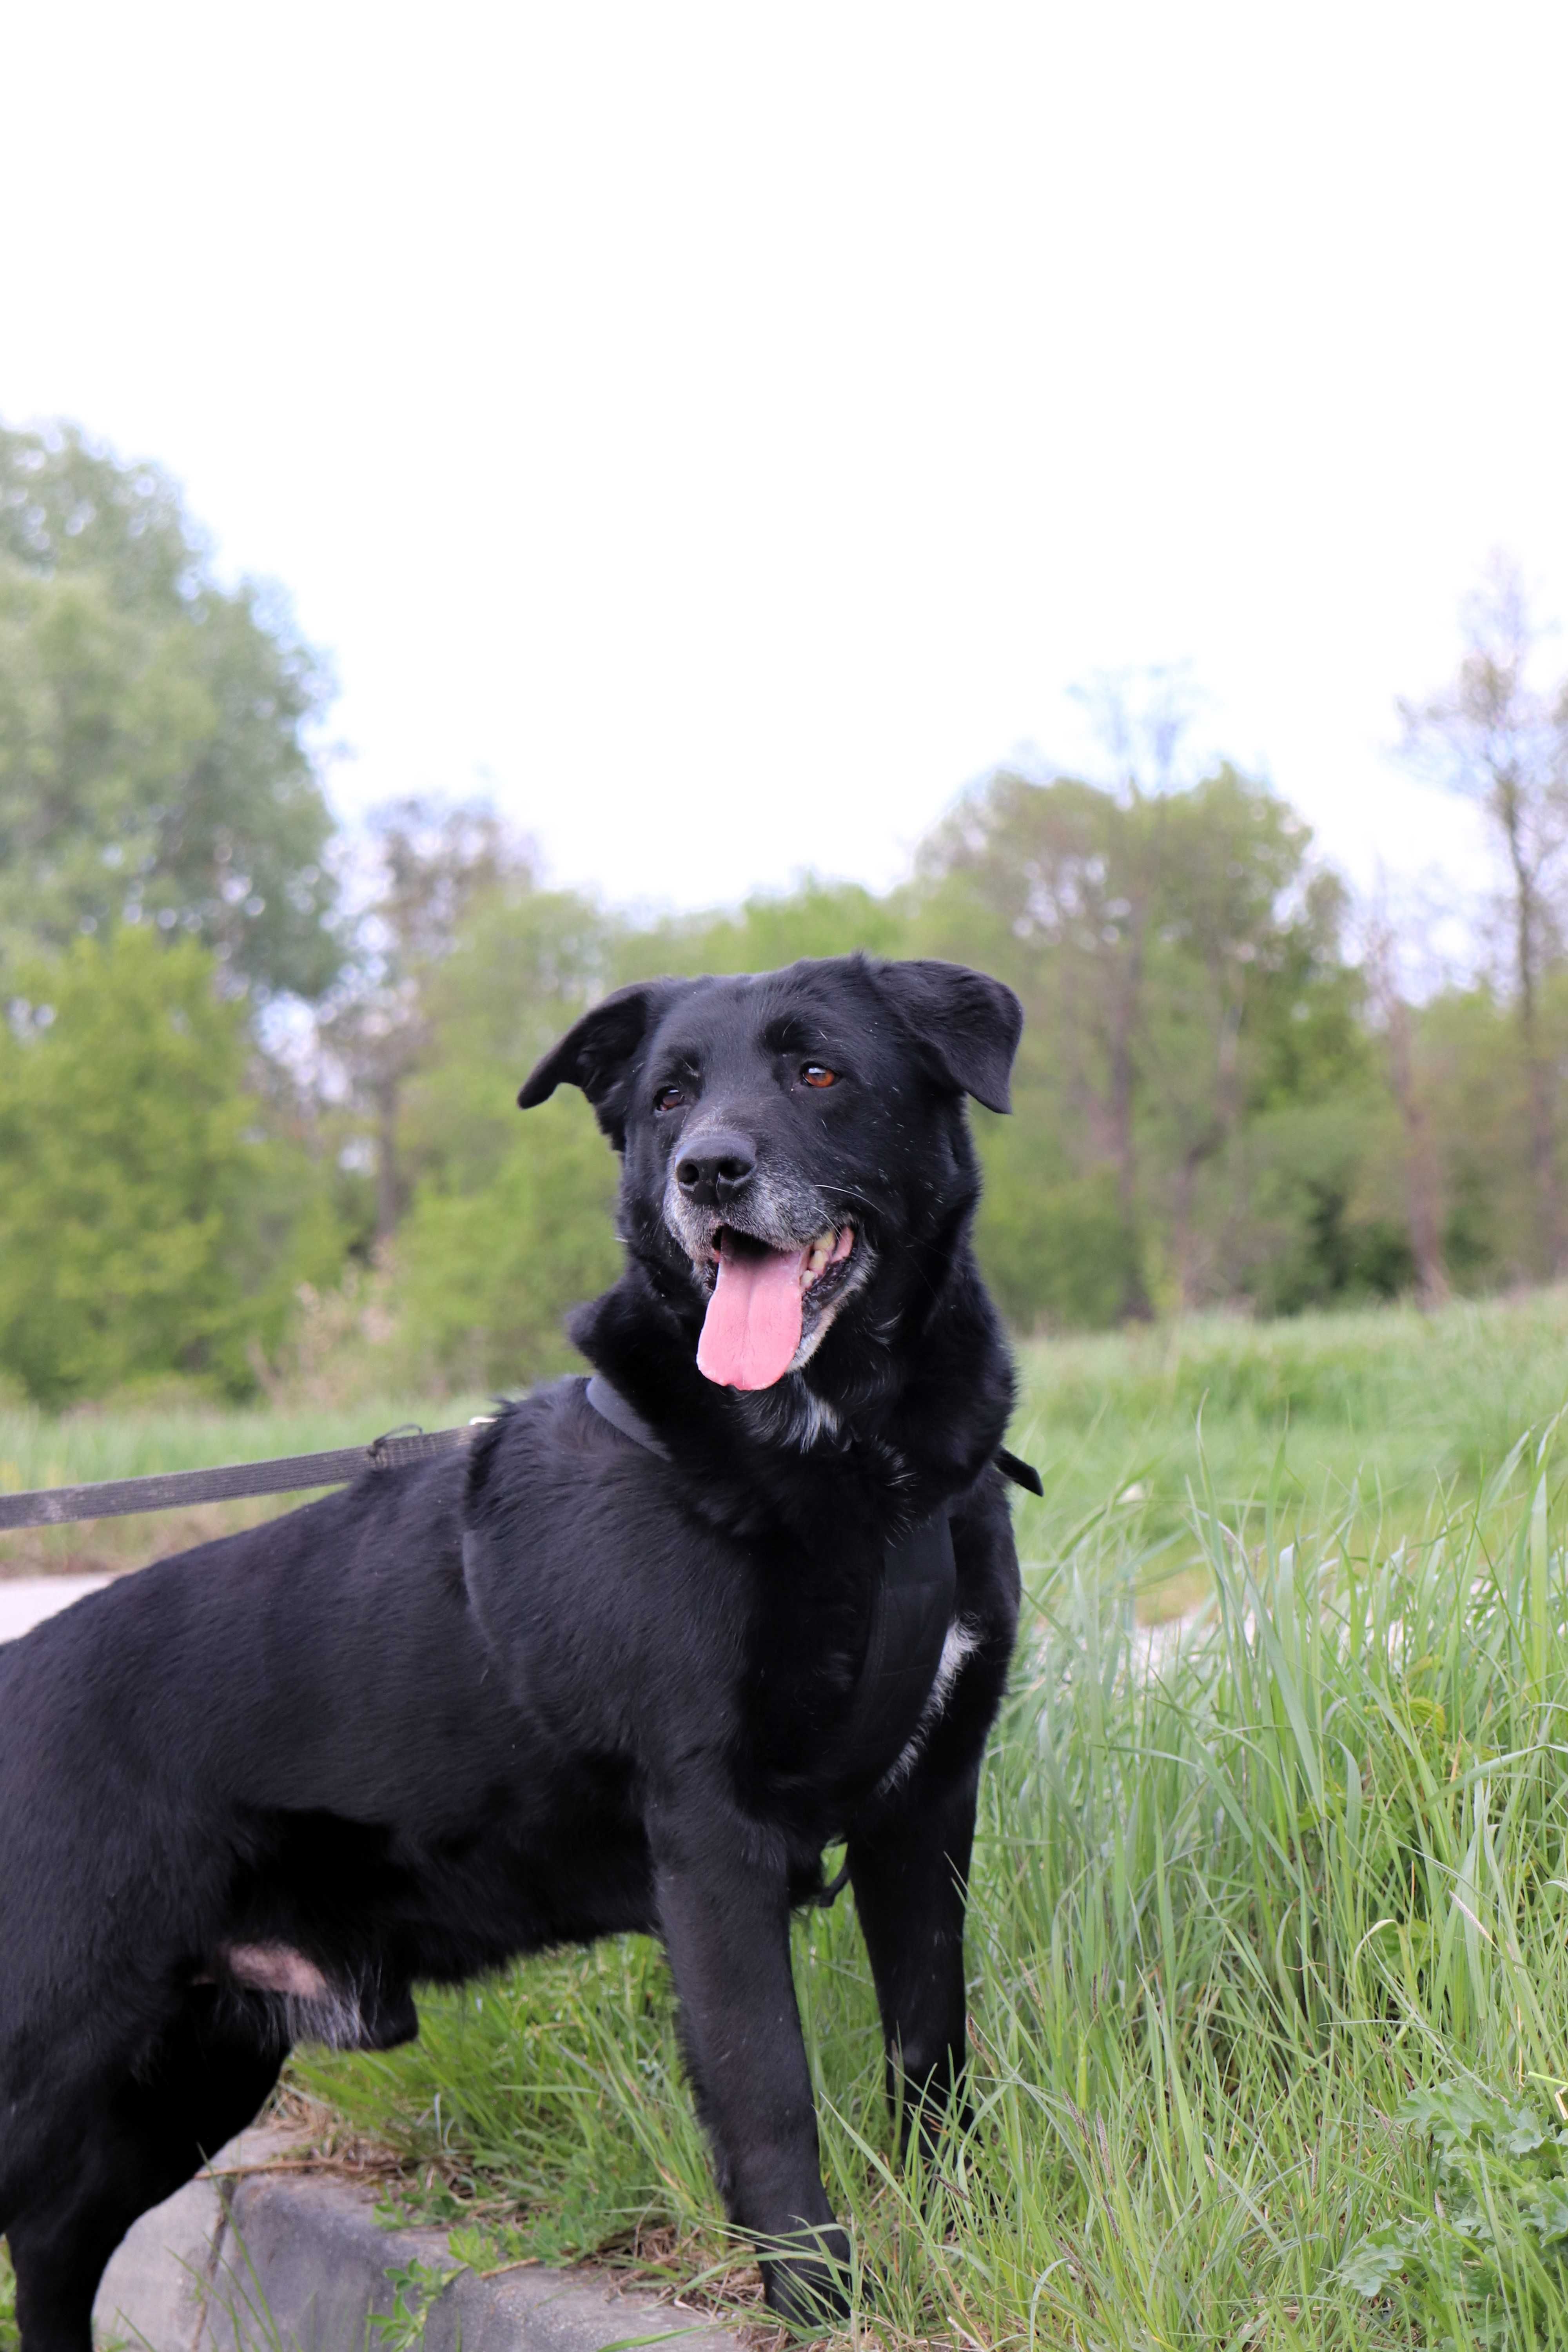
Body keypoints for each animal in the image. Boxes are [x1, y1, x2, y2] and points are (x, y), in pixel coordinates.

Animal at [0, 946, 1025, 2343]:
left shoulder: (925, 1809)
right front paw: (820, 2297)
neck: (845, 1464)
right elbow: (768, 2095)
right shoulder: (711, 1840)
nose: (709, 1171)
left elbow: (929, 2047)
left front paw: (956, 2238)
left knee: (52, 2247)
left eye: (818, 1072)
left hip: (188, 2072)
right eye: (667, 1098)